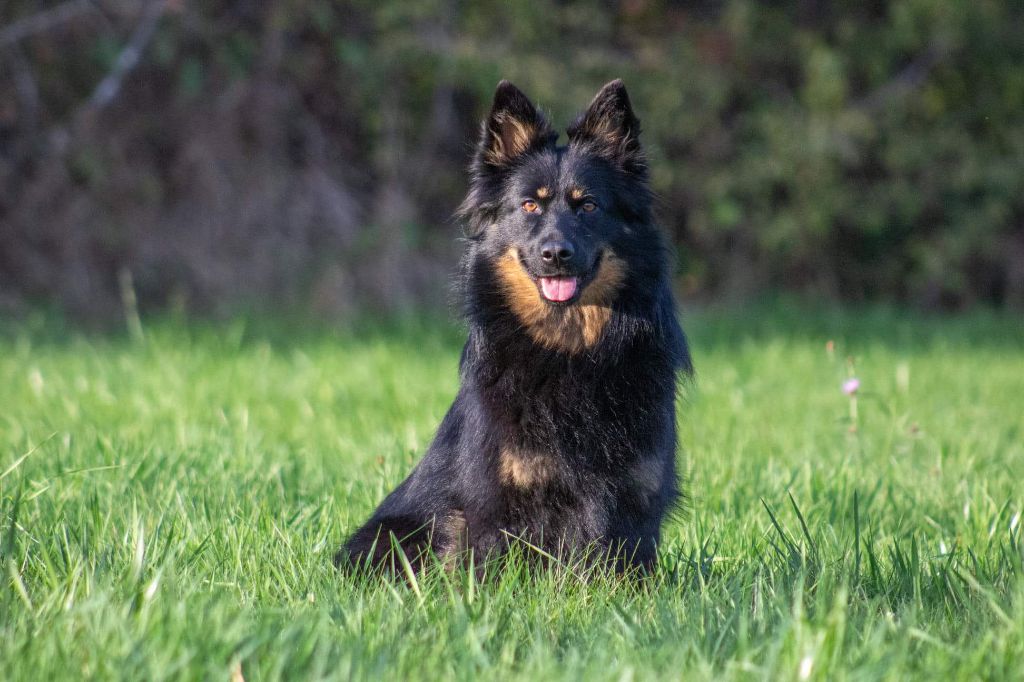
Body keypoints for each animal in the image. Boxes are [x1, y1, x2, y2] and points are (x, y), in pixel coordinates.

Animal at [339, 76, 692, 569]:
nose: (556, 253)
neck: (569, 352)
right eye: (529, 206)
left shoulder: (635, 505)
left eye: (588, 206)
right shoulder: (494, 508)